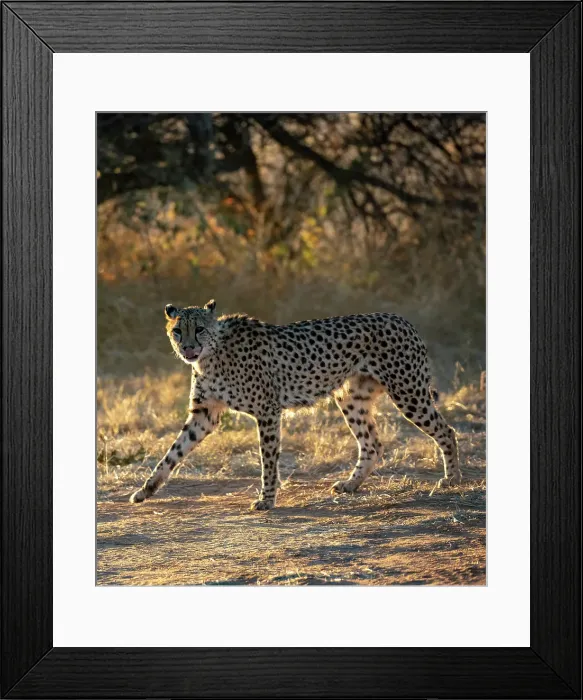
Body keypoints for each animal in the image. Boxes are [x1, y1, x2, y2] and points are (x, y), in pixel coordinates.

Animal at [129, 300, 461, 511]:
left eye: (199, 329)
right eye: (177, 331)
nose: (187, 348)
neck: (211, 355)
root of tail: (401, 319)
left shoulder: (267, 411)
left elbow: (268, 459)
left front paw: (267, 499)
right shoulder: (205, 413)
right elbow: (172, 453)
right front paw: (146, 489)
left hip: (408, 393)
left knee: (447, 431)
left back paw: (451, 480)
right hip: (351, 398)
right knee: (372, 444)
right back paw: (350, 485)